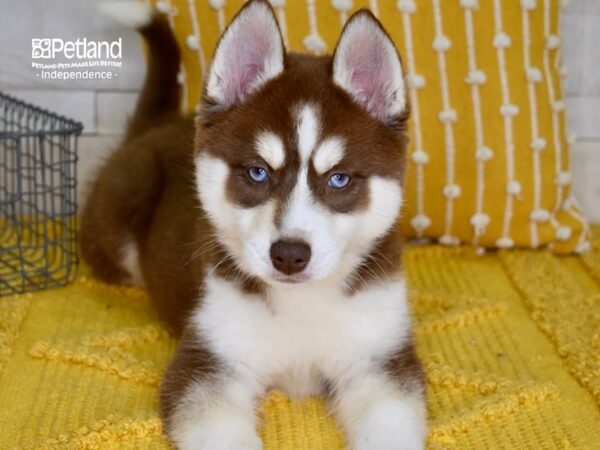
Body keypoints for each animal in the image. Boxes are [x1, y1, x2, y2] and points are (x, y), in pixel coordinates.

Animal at [84, 1, 426, 448]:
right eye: (258, 173)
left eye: (339, 179)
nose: (289, 256)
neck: (302, 303)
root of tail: (158, 124)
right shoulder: (209, 365)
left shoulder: (380, 361)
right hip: (123, 211)